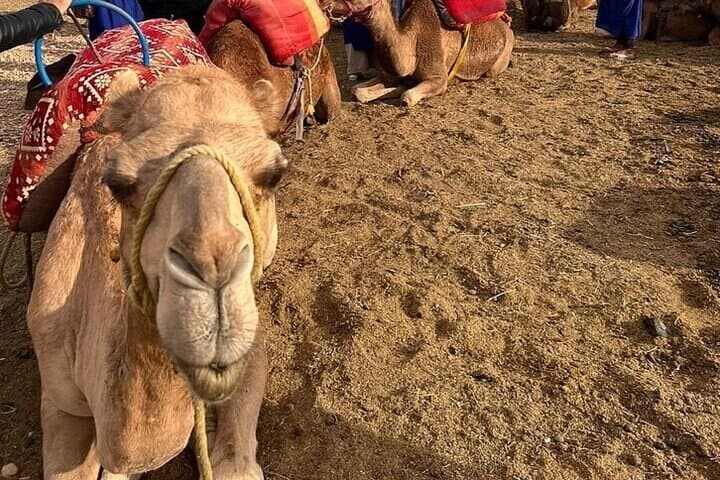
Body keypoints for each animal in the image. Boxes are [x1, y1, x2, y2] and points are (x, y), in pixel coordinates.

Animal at [324, 0, 514, 106]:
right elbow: (357, 90)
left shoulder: (438, 78)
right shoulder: (390, 74)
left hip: (498, 62)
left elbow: (406, 97)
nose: (324, 2)